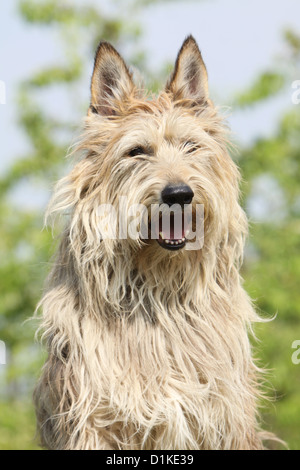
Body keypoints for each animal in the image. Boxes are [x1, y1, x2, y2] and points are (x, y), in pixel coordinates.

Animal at [34, 35, 274, 448]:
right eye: (137, 151)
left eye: (191, 146)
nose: (179, 194)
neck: (159, 293)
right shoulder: (94, 419)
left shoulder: (225, 417)